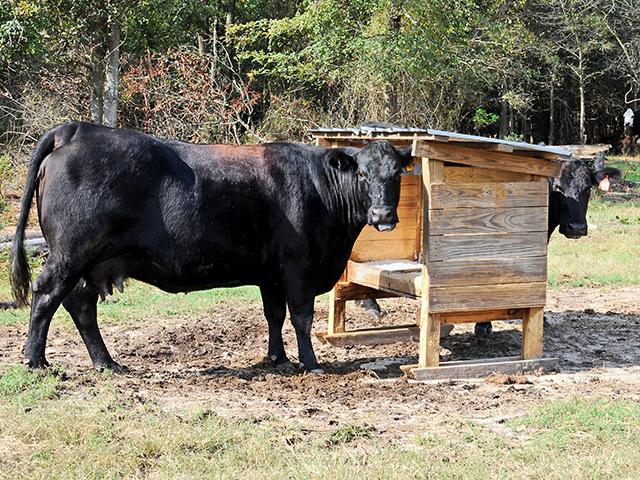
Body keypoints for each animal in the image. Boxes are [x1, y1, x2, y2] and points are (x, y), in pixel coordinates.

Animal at [10, 121, 412, 373]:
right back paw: (36, 361)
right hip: (71, 253)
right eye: (362, 174)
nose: (382, 214)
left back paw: (106, 362)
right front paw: (310, 362)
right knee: (47, 294)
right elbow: (301, 316)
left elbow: (274, 315)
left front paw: (277, 358)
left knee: (80, 304)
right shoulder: (298, 267)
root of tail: (77, 129)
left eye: (395, 175)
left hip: (94, 262)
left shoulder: (270, 273)